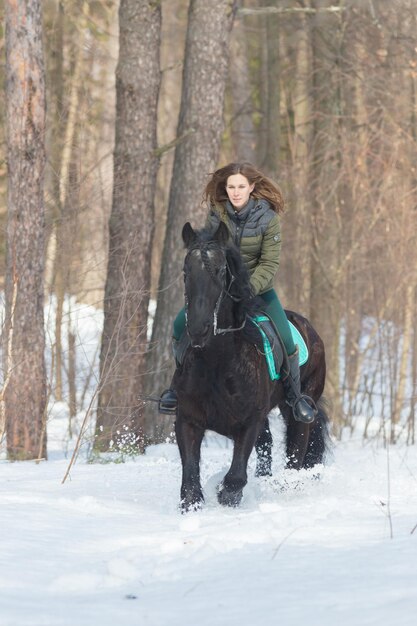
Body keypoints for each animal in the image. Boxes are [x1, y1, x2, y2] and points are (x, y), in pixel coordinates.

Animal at [171, 222, 328, 510]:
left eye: (221, 271)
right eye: (186, 271)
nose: (198, 330)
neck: (217, 362)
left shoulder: (249, 422)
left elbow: (234, 479)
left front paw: (226, 494)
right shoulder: (187, 419)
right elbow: (190, 481)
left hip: (299, 406)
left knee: (297, 447)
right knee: (267, 447)